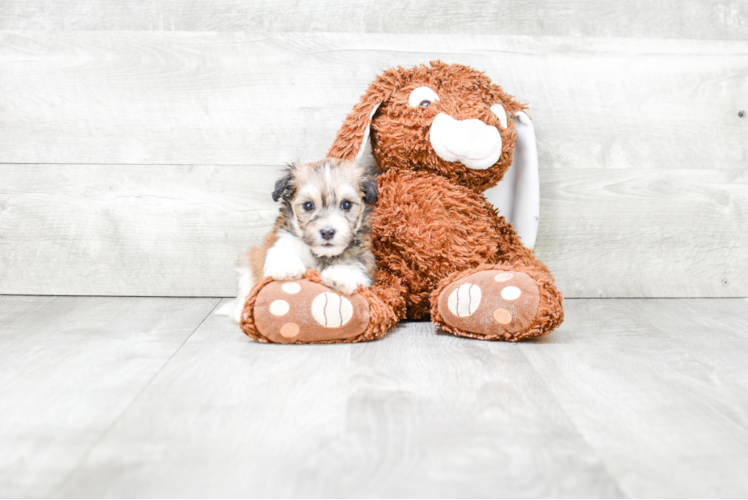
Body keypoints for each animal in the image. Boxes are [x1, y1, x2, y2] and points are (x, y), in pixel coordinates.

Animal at [216, 159, 380, 324]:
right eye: (308, 205)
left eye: (346, 204)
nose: (327, 232)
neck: (322, 254)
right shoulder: (282, 241)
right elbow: (282, 253)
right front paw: (288, 267)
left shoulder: (364, 257)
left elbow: (356, 266)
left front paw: (340, 276)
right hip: (249, 260)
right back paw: (240, 312)